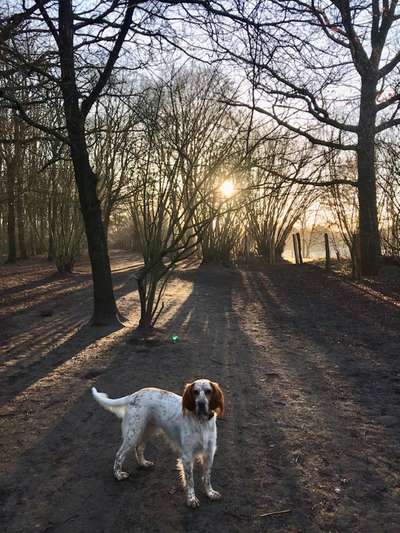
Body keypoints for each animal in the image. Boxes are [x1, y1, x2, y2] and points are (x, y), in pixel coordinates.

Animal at [91, 378, 225, 508]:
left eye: (208, 391)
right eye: (195, 392)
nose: (201, 404)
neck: (201, 422)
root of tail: (133, 395)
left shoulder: (209, 453)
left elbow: (207, 477)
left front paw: (210, 493)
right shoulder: (187, 456)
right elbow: (190, 481)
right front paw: (191, 499)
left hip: (147, 431)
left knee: (138, 448)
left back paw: (143, 463)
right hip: (133, 434)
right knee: (119, 454)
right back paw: (118, 474)